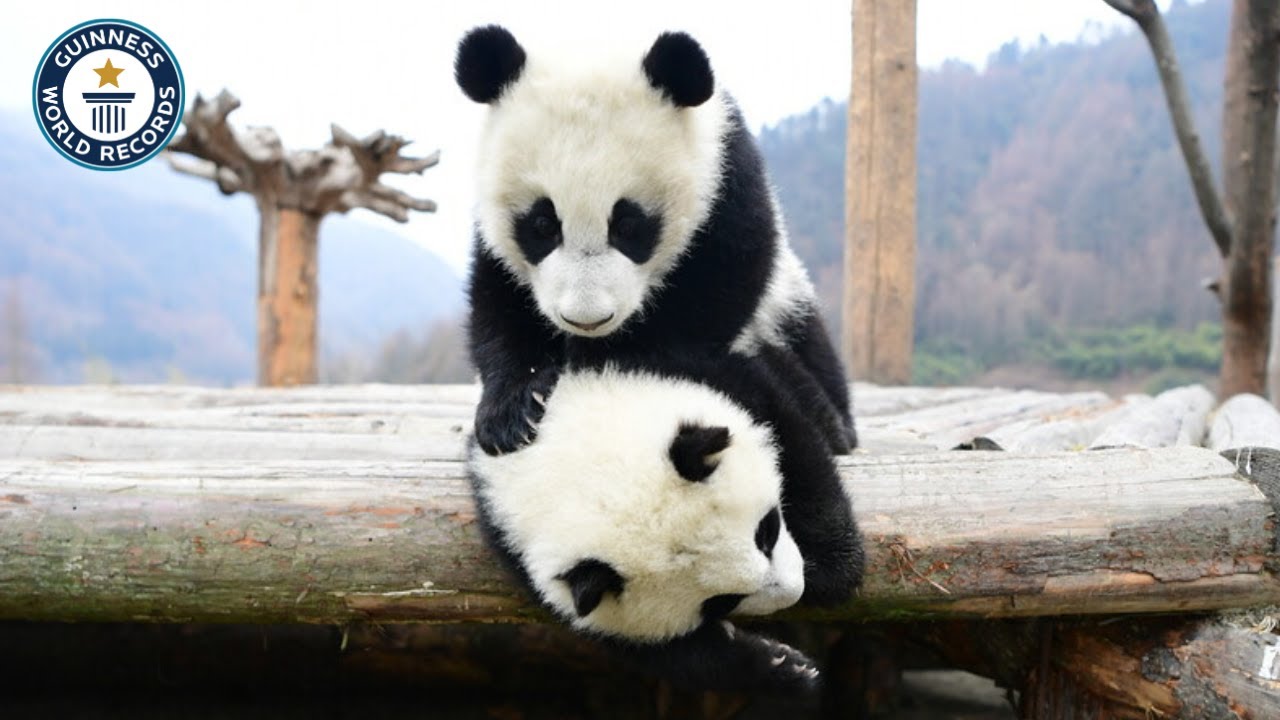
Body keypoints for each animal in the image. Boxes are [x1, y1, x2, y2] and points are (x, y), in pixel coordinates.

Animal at [456, 25, 855, 458]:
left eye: (628, 226)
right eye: (543, 225)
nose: (587, 320)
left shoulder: (724, 180)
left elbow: (711, 296)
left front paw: (597, 360)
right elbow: (499, 303)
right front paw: (513, 412)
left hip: (785, 305)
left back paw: (832, 422)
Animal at [467, 354, 863, 694]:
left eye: (766, 532)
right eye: (721, 601)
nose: (795, 590)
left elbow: (787, 432)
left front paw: (832, 569)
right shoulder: (521, 553)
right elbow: (668, 652)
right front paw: (784, 667)